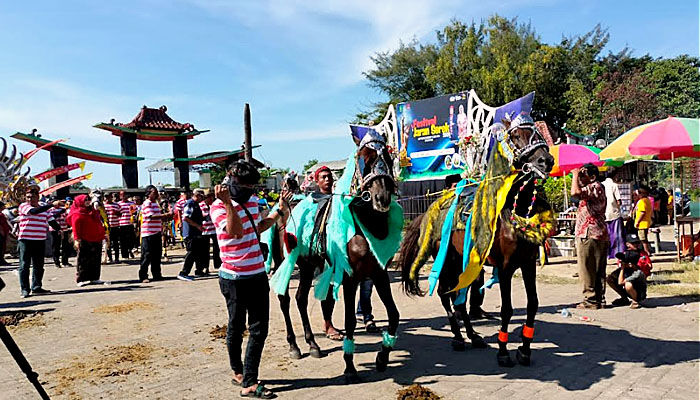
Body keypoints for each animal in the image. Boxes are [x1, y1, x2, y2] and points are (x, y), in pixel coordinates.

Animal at [262, 130, 404, 382]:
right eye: (364, 158)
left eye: (387, 157)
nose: (382, 198)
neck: (362, 227)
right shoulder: (349, 278)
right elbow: (349, 320)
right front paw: (349, 367)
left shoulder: (379, 274)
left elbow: (394, 315)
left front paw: (382, 357)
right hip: (283, 262)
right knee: (284, 299)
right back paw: (294, 346)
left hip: (307, 265)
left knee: (300, 298)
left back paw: (312, 344)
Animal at [400, 111, 552, 366]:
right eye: (516, 136)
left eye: (539, 133)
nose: (546, 161)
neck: (513, 209)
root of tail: (430, 211)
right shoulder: (506, 267)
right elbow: (507, 309)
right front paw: (503, 352)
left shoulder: (528, 263)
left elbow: (533, 304)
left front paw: (524, 350)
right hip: (448, 262)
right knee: (446, 295)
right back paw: (458, 338)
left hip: (463, 265)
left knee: (459, 299)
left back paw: (472, 335)